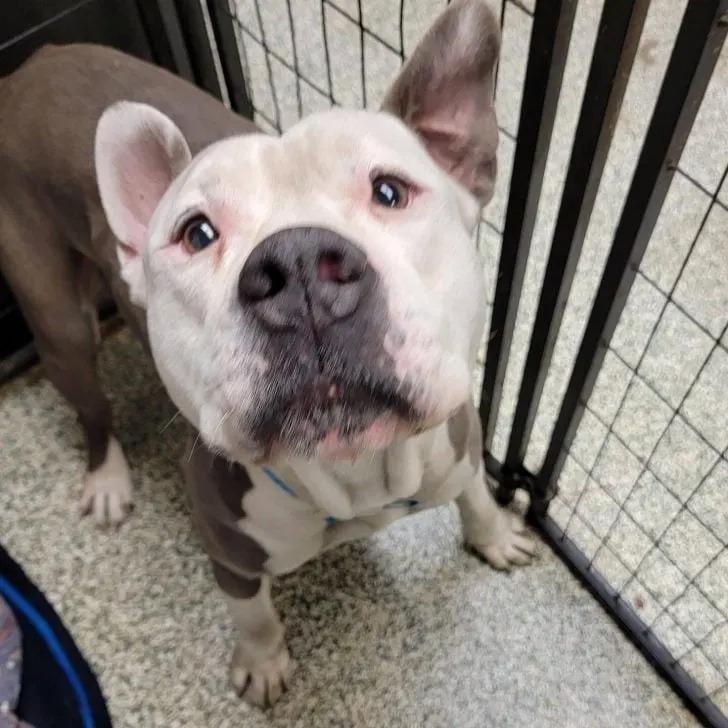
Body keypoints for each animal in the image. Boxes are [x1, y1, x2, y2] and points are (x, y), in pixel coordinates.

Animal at [0, 0, 536, 704]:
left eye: (390, 191)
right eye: (197, 234)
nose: (301, 262)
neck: (353, 476)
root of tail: (35, 63)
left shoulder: (460, 444)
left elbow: (474, 494)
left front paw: (493, 534)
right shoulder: (228, 555)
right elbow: (252, 612)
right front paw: (261, 661)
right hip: (59, 322)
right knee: (92, 408)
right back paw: (109, 478)